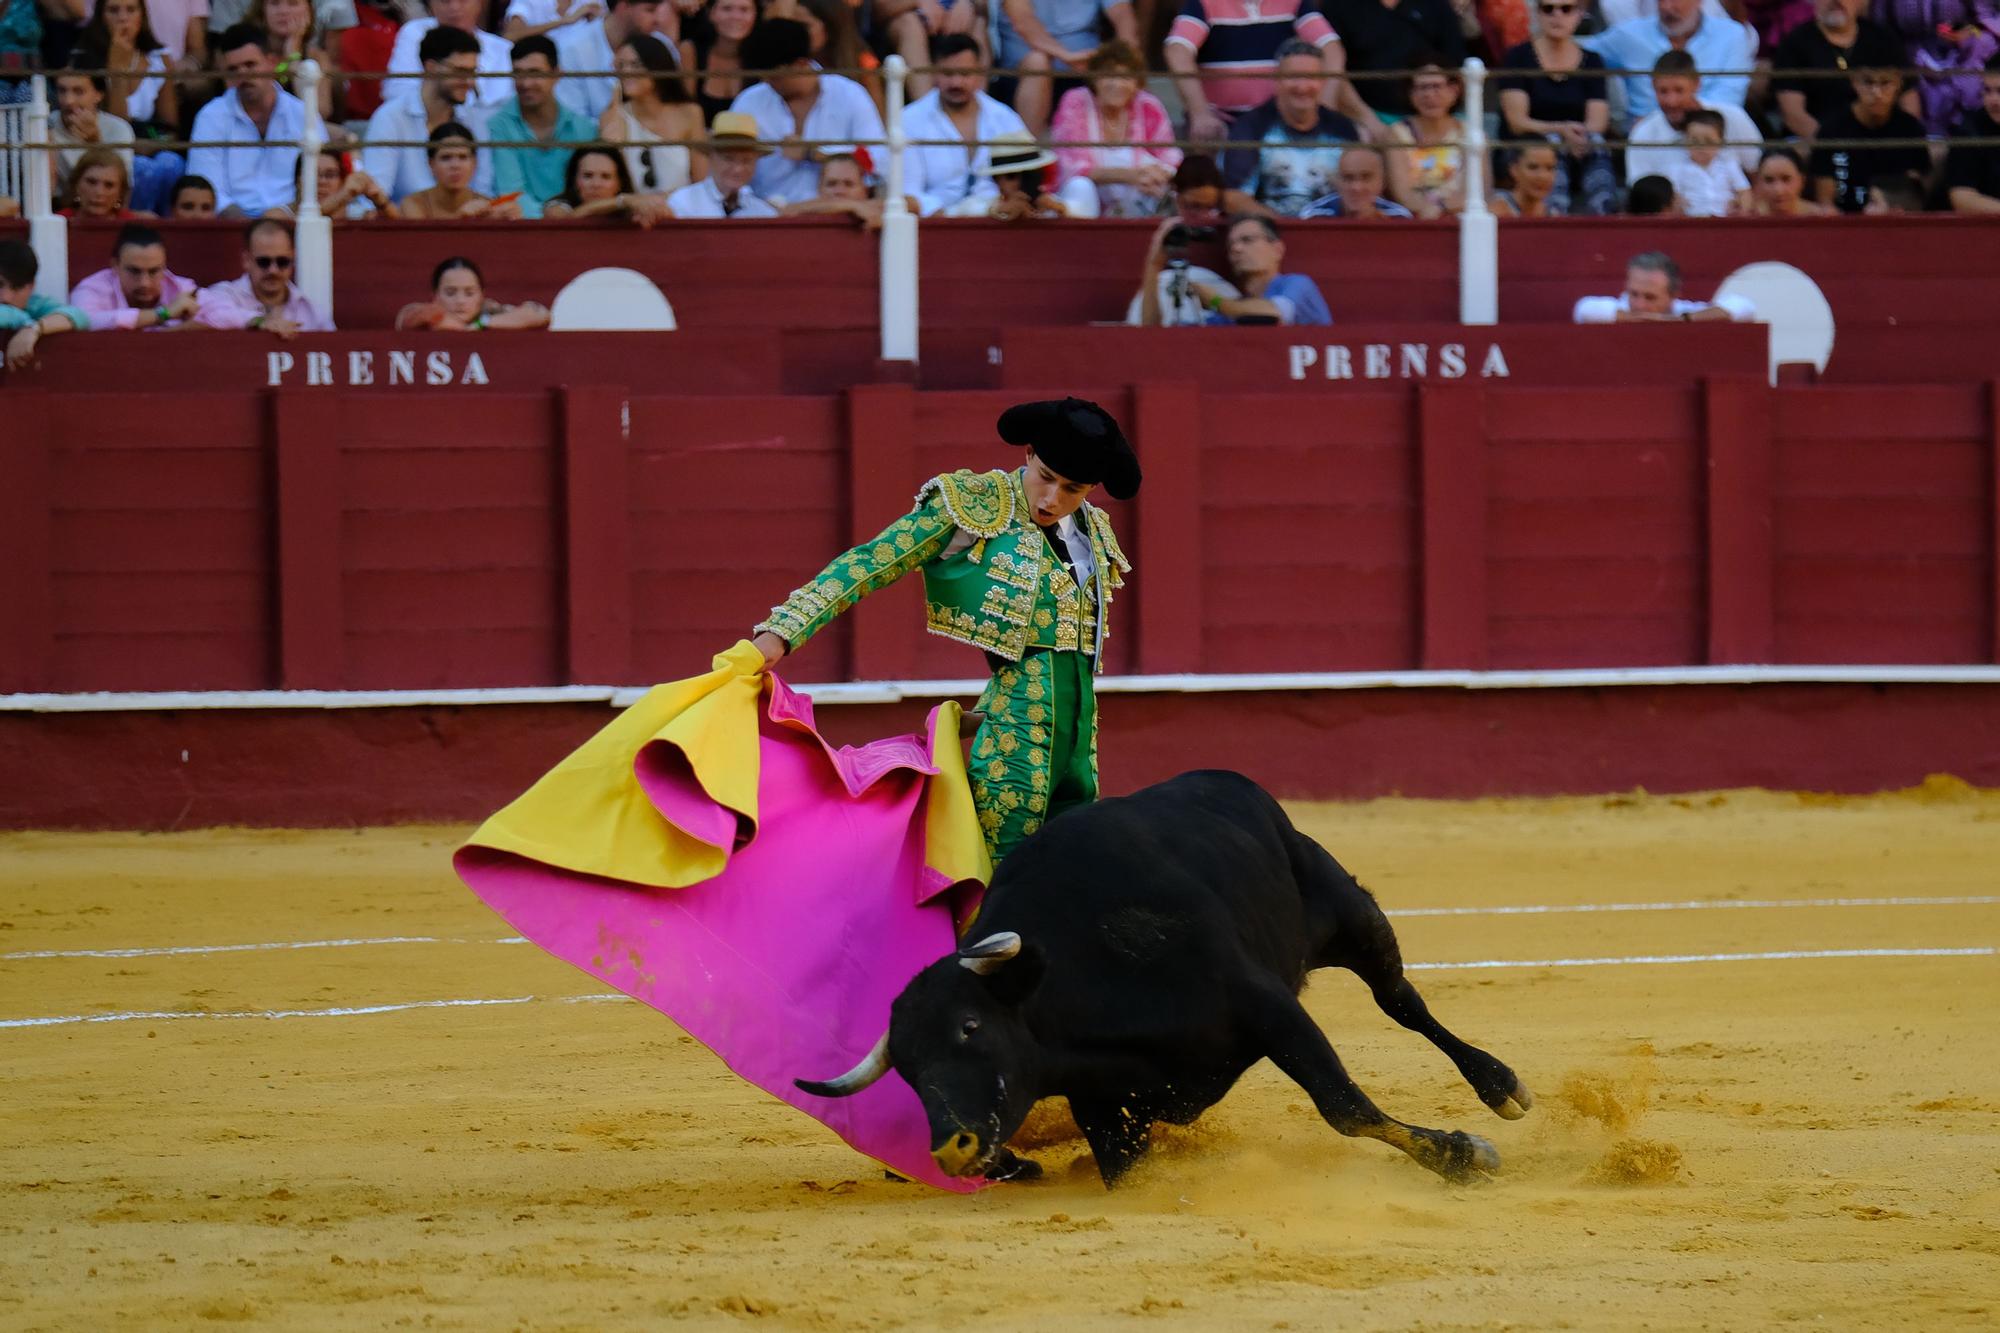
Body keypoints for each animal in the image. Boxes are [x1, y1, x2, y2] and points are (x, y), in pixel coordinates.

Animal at [796, 768, 1528, 1184]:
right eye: (907, 1069)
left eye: (971, 1025)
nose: (951, 1150)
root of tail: (1227, 780)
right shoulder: (1102, 1098)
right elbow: (1123, 1170)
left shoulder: (1268, 1008)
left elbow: (1345, 1106)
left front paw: (1465, 1155)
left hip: (1350, 912)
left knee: (1400, 998)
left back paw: (1501, 1085)